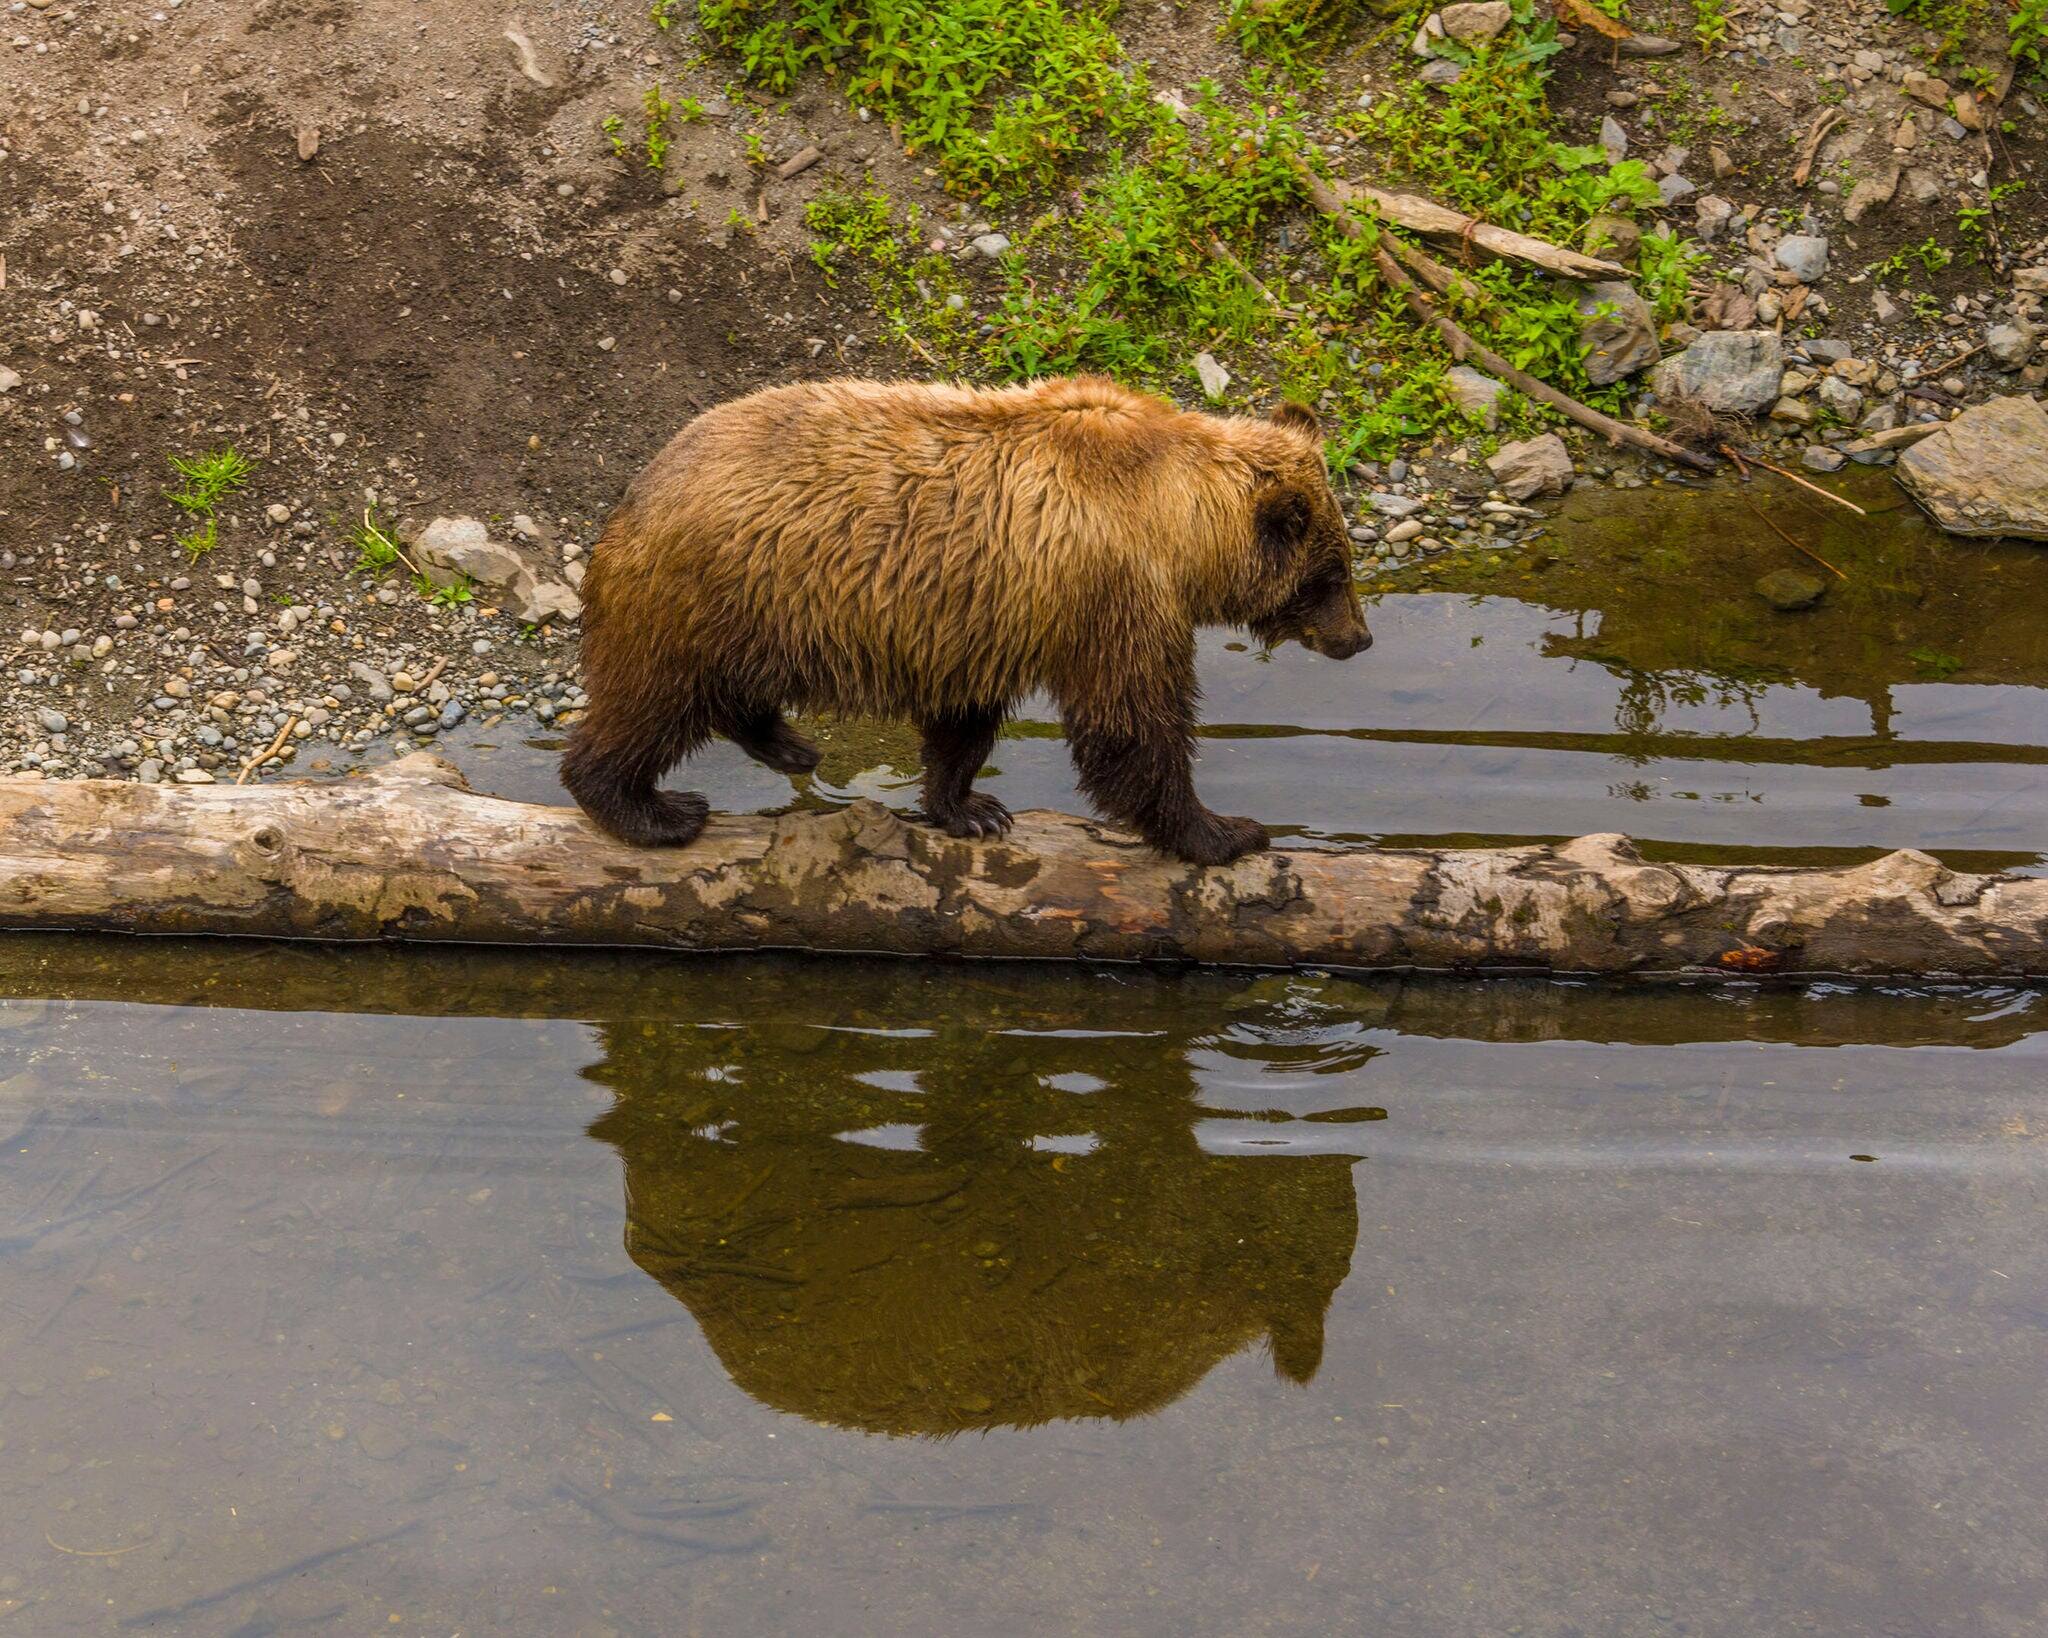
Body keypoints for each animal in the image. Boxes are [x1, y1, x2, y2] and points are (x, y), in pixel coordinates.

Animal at [560, 374, 1371, 867]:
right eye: (1330, 576)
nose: (1359, 638)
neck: (1173, 520)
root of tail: (636, 487)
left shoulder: (985, 616)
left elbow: (966, 720)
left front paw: (970, 808)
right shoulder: (1112, 591)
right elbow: (1132, 723)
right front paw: (1225, 831)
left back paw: (791, 746)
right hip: (710, 591)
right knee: (652, 701)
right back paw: (651, 809)